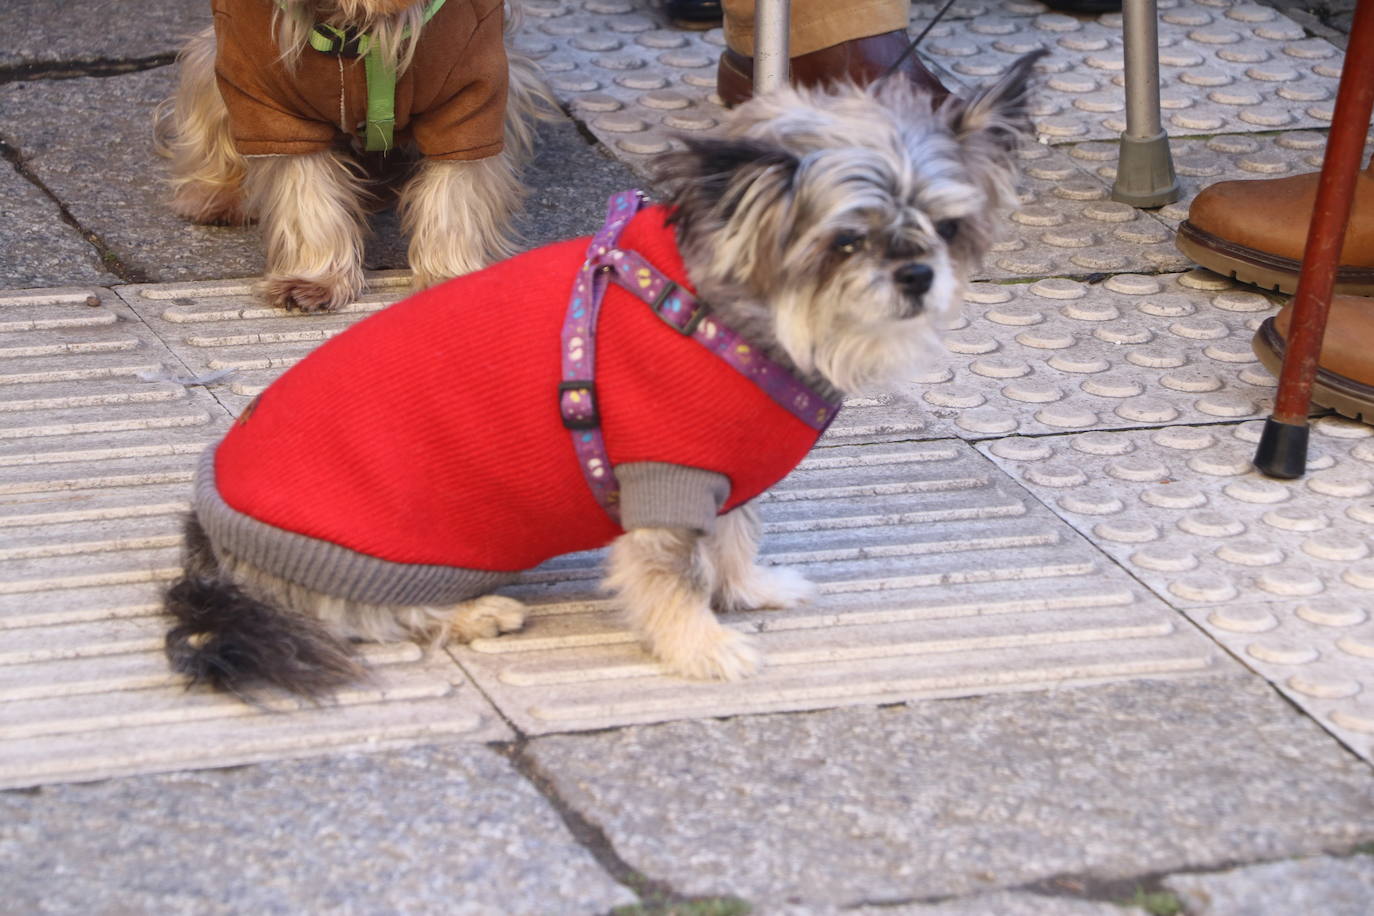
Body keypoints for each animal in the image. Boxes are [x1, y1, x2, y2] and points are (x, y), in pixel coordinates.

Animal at [163, 57, 1038, 697]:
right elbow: (674, 577)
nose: (919, 275)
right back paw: (474, 612)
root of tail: (209, 540)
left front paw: (749, 590)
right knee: (377, 620)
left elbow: (734, 539)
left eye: (948, 227)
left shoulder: (717, 474)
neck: (710, 308)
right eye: (846, 241)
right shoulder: (662, 479)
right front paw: (701, 646)